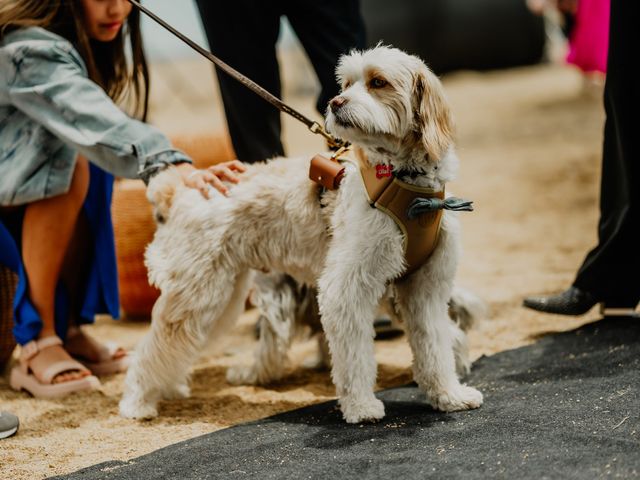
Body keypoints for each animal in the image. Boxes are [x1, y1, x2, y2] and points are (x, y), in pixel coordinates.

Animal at [120, 46, 482, 424]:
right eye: (346, 84)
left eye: (378, 82)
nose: (336, 102)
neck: (405, 185)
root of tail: (182, 190)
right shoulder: (346, 289)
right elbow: (355, 359)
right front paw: (361, 407)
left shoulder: (425, 290)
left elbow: (436, 346)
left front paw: (448, 394)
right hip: (199, 293)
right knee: (156, 347)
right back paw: (137, 401)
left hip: (220, 297)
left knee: (175, 345)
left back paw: (168, 388)